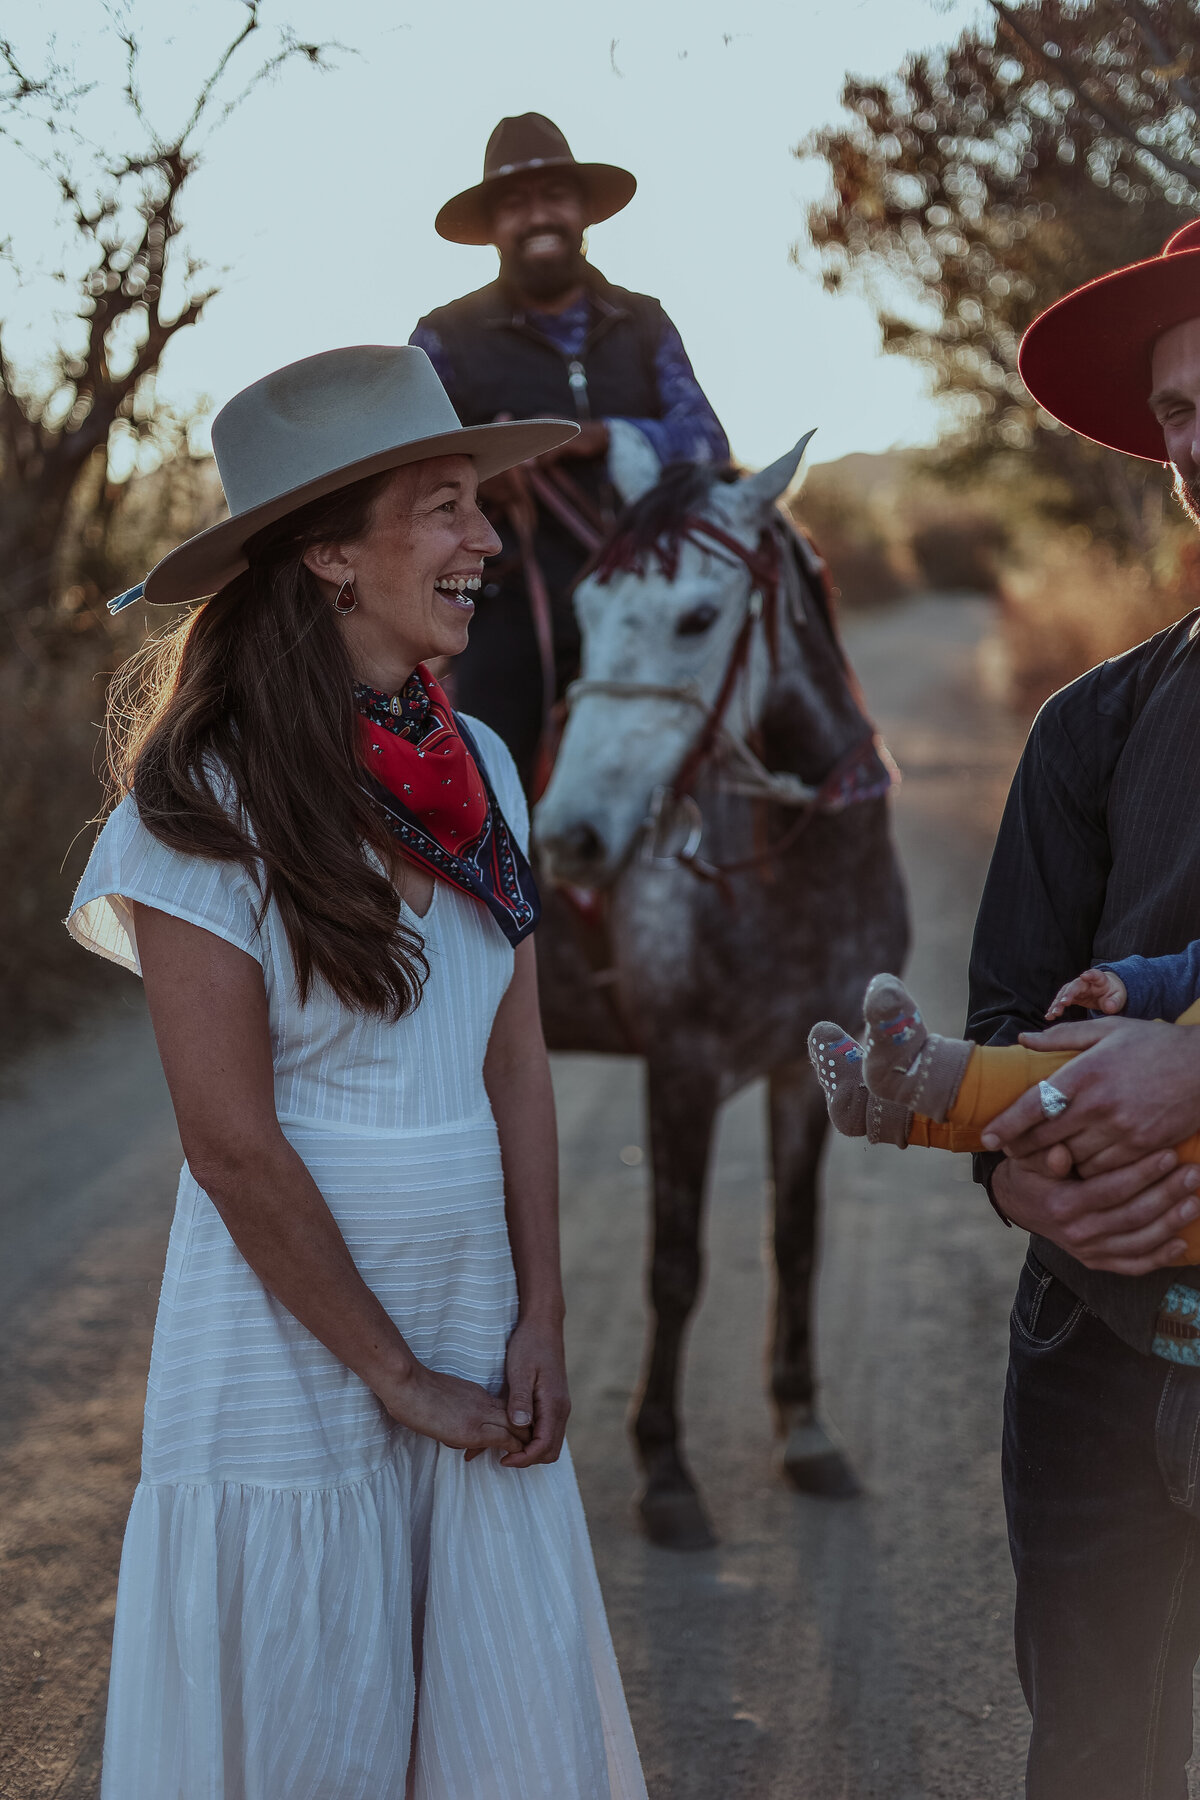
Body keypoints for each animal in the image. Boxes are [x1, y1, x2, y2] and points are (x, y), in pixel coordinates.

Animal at [536, 435, 910, 1548]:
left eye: (700, 618)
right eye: (584, 610)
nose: (569, 840)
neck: (796, 871)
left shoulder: (806, 1070)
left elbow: (794, 1242)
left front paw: (806, 1427)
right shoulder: (683, 1071)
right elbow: (676, 1266)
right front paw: (664, 1468)